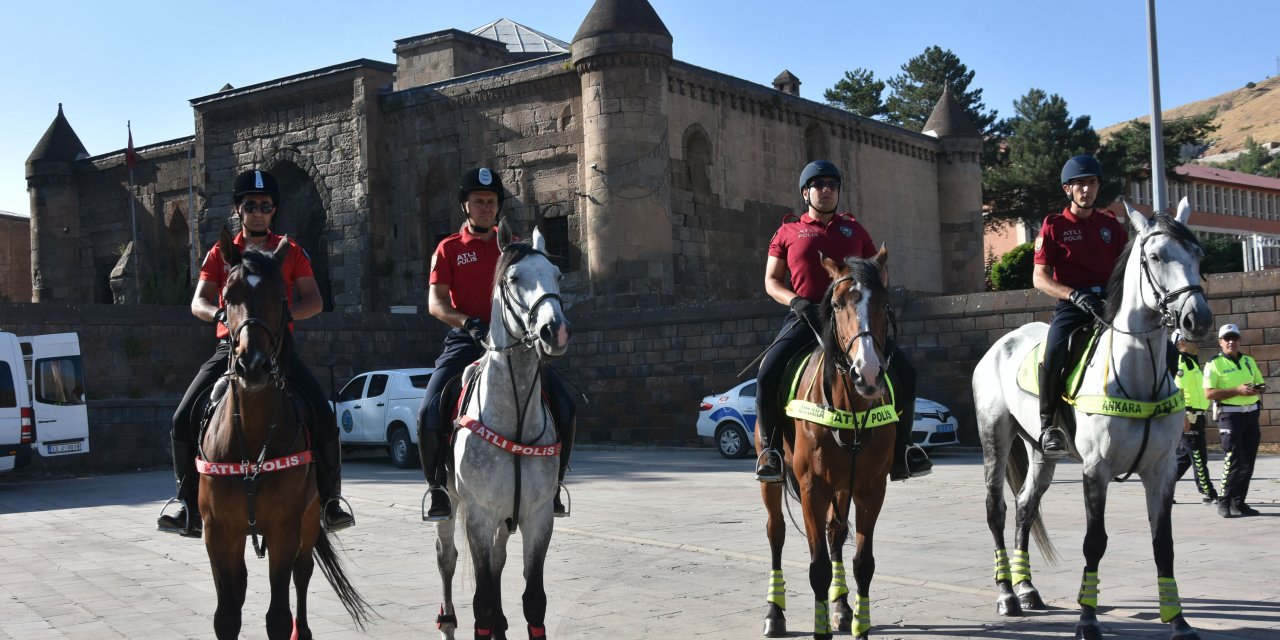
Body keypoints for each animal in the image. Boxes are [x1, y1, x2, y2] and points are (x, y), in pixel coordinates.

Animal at [198, 227, 371, 637]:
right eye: (228, 296)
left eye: (280, 297)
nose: (253, 365)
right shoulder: (217, 533)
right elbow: (226, 616)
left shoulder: (285, 529)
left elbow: (278, 614)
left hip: (308, 522)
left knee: (302, 573)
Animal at [432, 226, 568, 640]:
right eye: (513, 278)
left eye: (558, 276)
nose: (554, 331)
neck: (515, 416)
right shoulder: (478, 514)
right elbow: (482, 604)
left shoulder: (538, 516)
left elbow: (533, 600)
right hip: (451, 504)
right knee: (447, 558)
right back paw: (447, 621)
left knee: (496, 560)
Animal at [757, 248, 901, 640]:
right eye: (836, 304)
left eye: (884, 303)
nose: (868, 373)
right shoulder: (812, 487)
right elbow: (817, 565)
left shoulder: (870, 488)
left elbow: (862, 562)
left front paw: (858, 624)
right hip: (774, 477)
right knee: (776, 532)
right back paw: (775, 612)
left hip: (843, 486)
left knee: (835, 532)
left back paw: (841, 607)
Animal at [972, 197, 1213, 637]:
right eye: (1155, 256)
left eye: (1198, 254)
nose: (1196, 318)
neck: (1138, 374)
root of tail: (1002, 342)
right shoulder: (1095, 469)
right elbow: (1094, 542)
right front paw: (1087, 618)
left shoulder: (1161, 471)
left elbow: (1163, 544)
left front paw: (1178, 619)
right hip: (994, 436)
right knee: (996, 509)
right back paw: (1007, 594)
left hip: (1042, 452)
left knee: (1025, 507)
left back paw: (1027, 588)